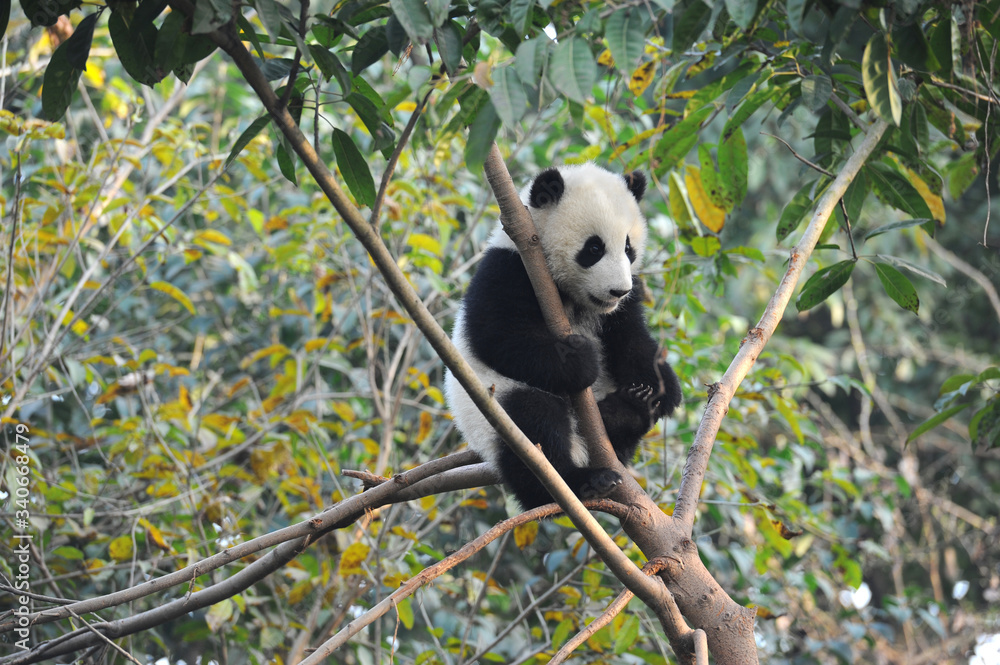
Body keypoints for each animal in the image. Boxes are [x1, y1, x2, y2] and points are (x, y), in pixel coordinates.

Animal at [445, 163, 682, 510]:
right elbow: (498, 335)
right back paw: (584, 481)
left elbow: (632, 340)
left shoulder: (622, 307)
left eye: (628, 249)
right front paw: (581, 361)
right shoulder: (509, 267)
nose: (618, 290)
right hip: (493, 412)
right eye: (594, 248)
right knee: (534, 422)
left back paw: (628, 409)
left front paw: (661, 388)